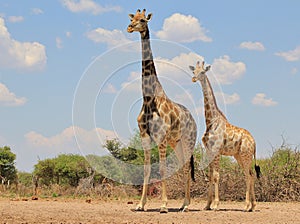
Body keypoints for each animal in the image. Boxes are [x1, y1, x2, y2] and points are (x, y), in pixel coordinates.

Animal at [126, 8, 197, 212]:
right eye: (132, 18)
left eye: (143, 20)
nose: (130, 27)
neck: (149, 100)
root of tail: (194, 120)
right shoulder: (145, 136)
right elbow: (147, 168)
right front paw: (140, 204)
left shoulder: (161, 137)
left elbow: (163, 168)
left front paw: (164, 205)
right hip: (176, 142)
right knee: (182, 167)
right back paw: (183, 204)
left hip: (188, 140)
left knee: (186, 167)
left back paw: (186, 205)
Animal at [190, 60, 260, 212]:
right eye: (194, 71)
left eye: (202, 71)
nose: (193, 79)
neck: (211, 120)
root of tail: (254, 142)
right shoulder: (209, 151)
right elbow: (211, 176)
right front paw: (207, 205)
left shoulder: (216, 151)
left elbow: (216, 176)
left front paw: (216, 204)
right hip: (239, 156)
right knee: (251, 175)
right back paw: (253, 205)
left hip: (245, 155)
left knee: (248, 175)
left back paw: (246, 205)